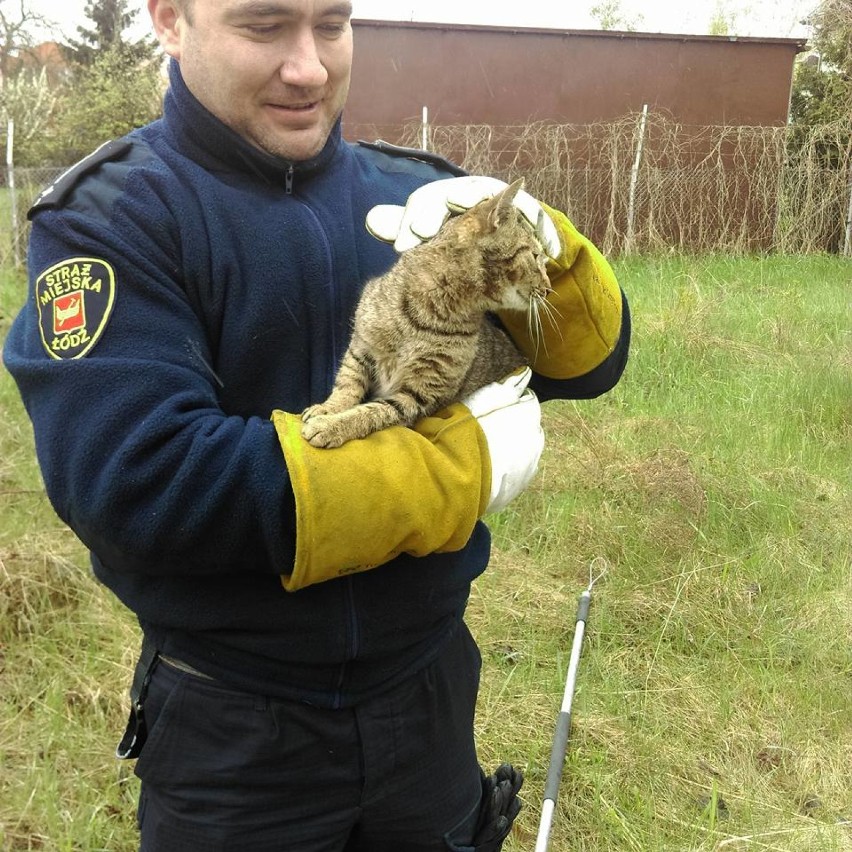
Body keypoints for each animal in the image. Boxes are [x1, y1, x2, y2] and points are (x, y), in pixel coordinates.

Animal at [300, 177, 552, 450]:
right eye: (535, 256)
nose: (548, 288)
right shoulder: (361, 348)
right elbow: (347, 385)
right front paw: (328, 409)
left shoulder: (419, 394)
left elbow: (375, 411)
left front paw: (332, 425)